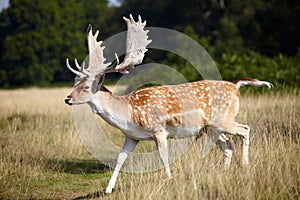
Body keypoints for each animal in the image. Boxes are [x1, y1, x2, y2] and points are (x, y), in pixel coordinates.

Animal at [64, 14, 274, 193]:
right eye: (75, 83)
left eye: (86, 87)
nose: (67, 98)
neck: (129, 113)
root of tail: (235, 86)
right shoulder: (131, 136)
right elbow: (120, 158)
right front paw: (108, 188)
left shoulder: (159, 130)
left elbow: (163, 156)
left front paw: (169, 179)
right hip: (211, 128)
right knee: (228, 144)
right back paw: (225, 171)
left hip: (225, 120)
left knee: (245, 129)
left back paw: (245, 164)